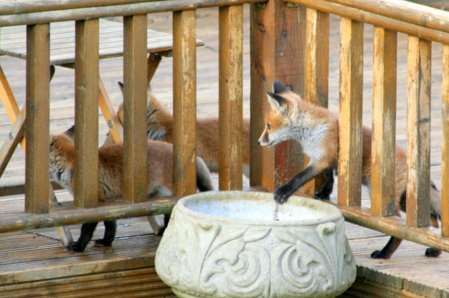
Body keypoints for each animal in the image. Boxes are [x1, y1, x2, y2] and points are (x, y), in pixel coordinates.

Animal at [49, 127, 214, 253]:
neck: (68, 166)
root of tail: (193, 158)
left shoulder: (92, 202)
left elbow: (86, 229)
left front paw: (79, 246)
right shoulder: (107, 203)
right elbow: (110, 225)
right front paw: (106, 241)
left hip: (168, 196)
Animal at [258, 80, 440, 260]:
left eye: (268, 126)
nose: (259, 142)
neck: (311, 130)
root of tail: (410, 162)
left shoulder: (321, 159)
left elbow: (300, 177)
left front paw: (283, 192)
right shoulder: (327, 161)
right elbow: (329, 179)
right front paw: (323, 194)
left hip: (381, 197)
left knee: (399, 228)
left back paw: (385, 253)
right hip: (405, 201)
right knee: (432, 222)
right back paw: (434, 249)